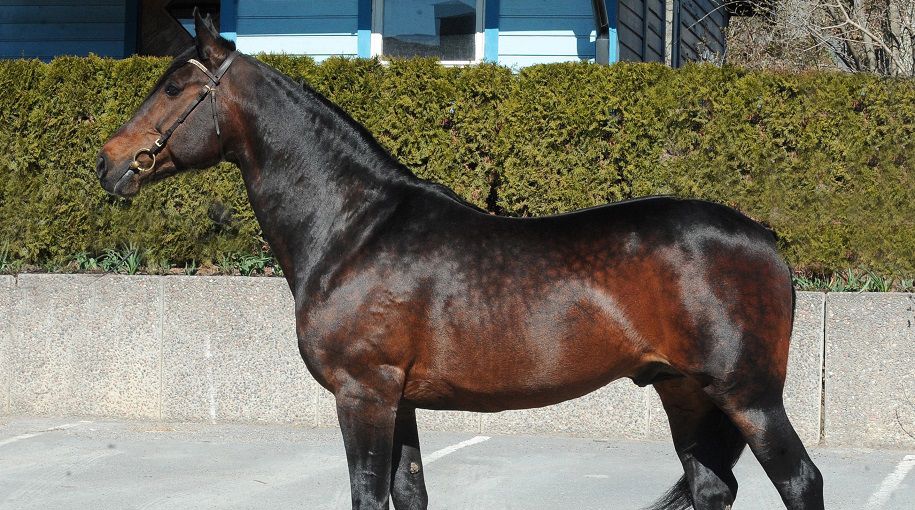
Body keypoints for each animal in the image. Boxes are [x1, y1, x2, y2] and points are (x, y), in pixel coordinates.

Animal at [96, 11, 823, 510]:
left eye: (172, 88)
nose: (108, 163)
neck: (352, 230)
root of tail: (764, 241)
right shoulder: (398, 398)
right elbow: (410, 494)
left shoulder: (363, 393)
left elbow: (368, 495)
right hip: (684, 391)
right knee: (711, 486)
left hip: (747, 395)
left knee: (800, 480)